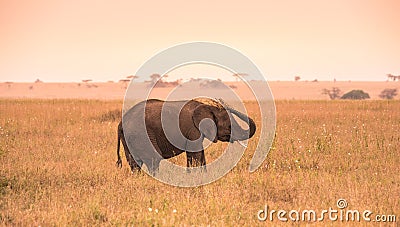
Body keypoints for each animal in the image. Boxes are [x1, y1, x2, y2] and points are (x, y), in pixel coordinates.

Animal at [115, 97, 256, 174]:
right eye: (229, 126)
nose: (220, 100)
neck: (207, 107)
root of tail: (120, 124)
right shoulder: (192, 129)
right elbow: (195, 154)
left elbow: (200, 154)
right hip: (141, 135)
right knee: (153, 160)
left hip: (129, 138)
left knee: (134, 163)